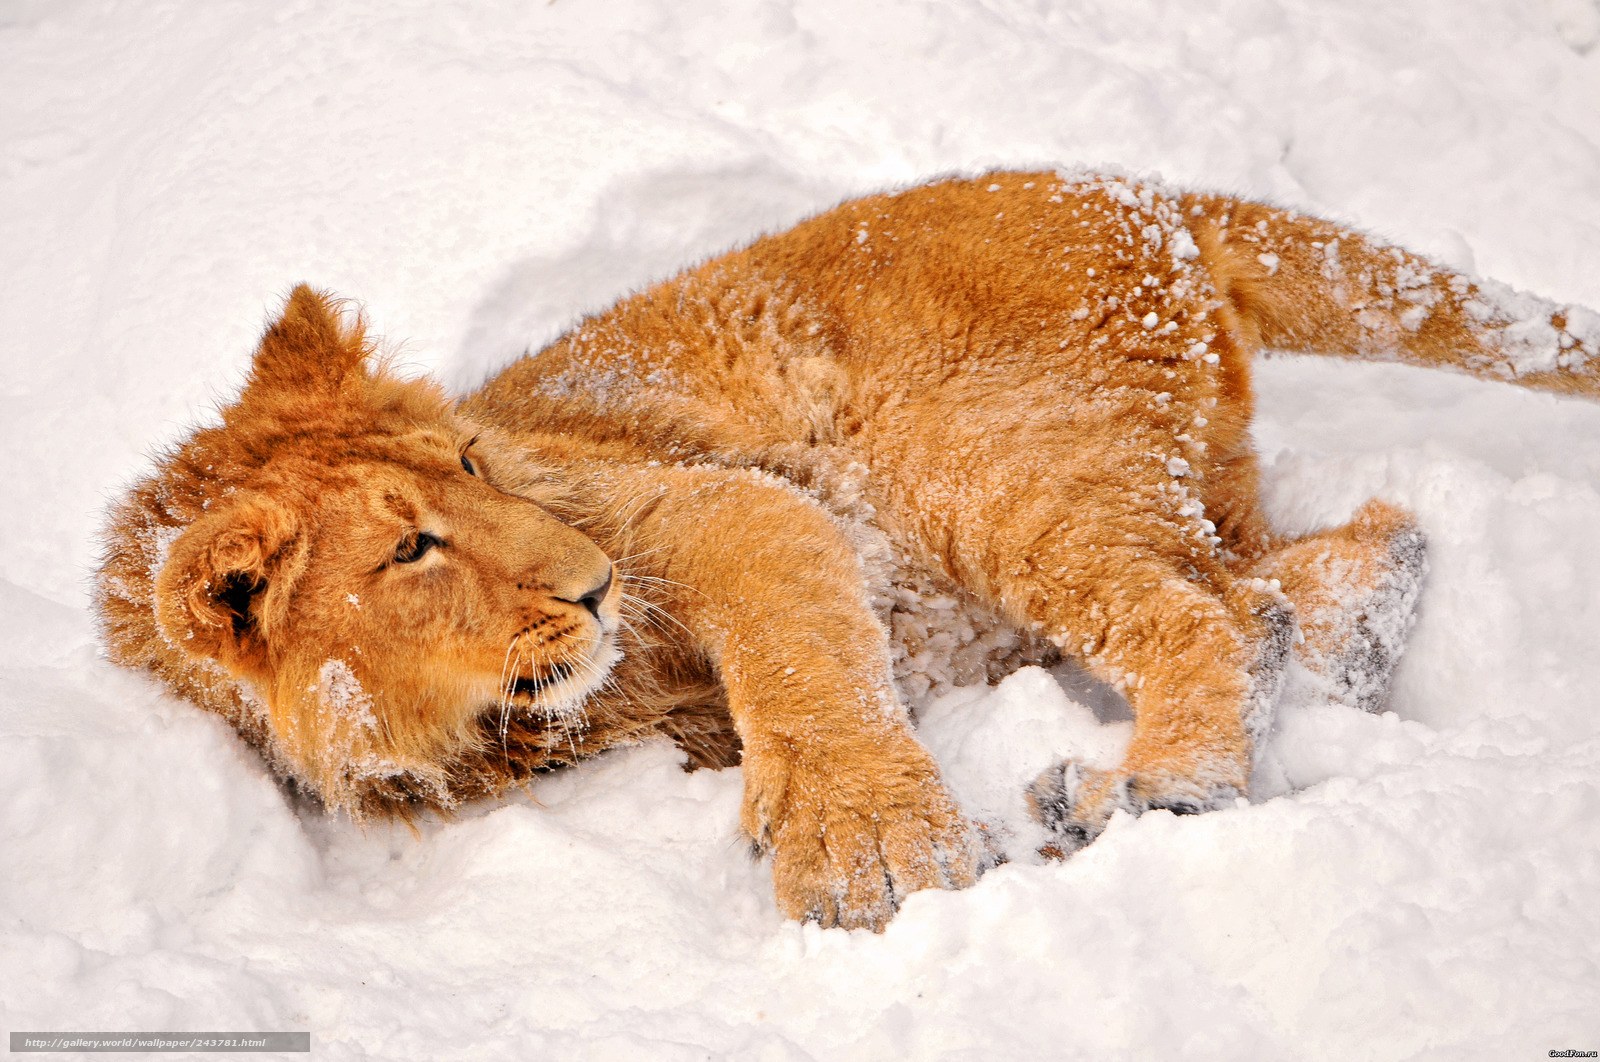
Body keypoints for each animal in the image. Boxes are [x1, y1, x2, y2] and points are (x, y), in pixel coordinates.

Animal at [96, 169, 1600, 930]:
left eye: (470, 468)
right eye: (411, 549)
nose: (589, 583)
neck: (479, 730)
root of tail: (1134, 189)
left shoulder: (704, 506)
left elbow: (797, 652)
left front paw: (869, 847)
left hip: (984, 468)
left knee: (1211, 617)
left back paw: (1153, 790)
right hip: (1159, 479)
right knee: (1333, 561)